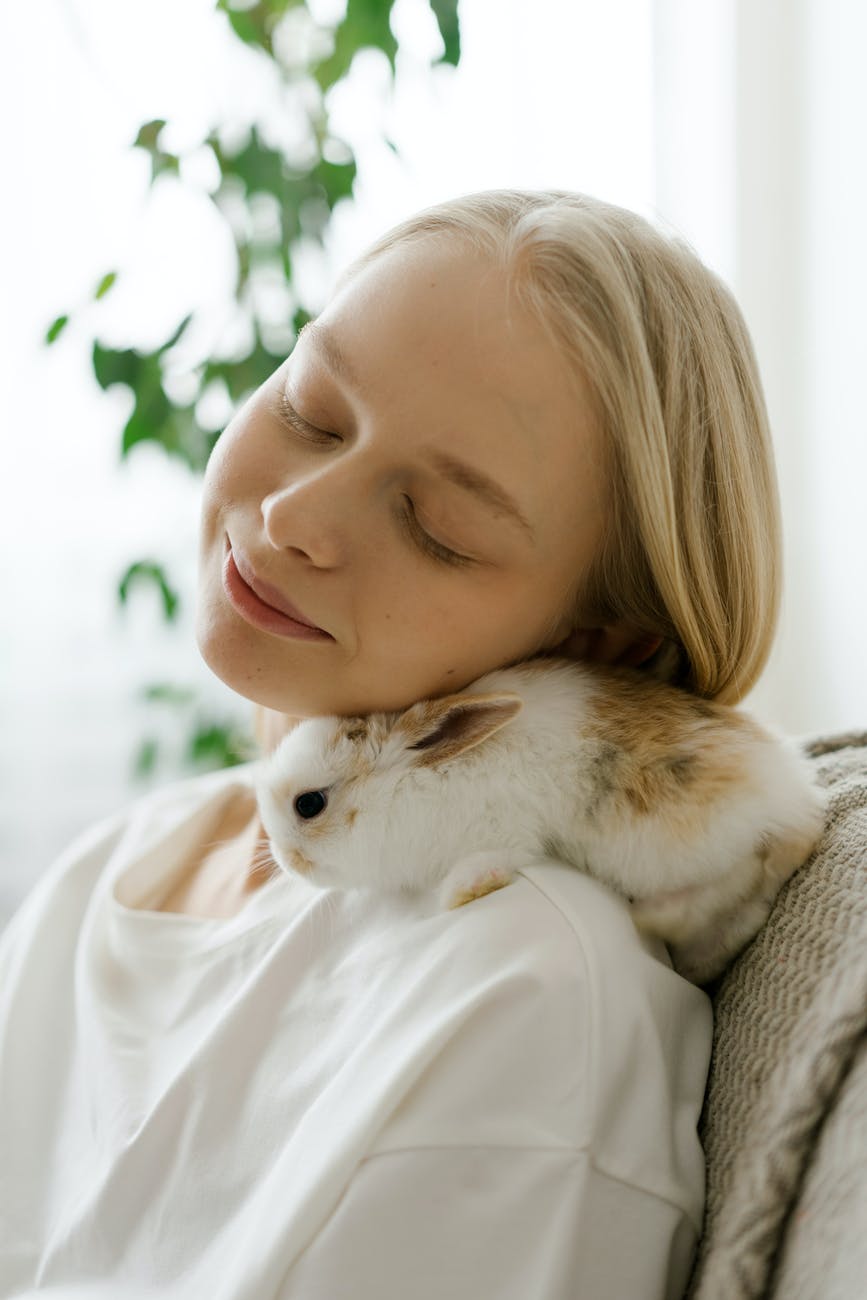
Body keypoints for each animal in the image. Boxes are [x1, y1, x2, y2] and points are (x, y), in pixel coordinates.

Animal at [252, 655, 826, 977]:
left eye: (309, 804)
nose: (285, 860)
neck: (404, 787)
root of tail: (801, 808)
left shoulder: (502, 827)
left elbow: (499, 855)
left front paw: (464, 889)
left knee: (743, 873)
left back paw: (653, 916)